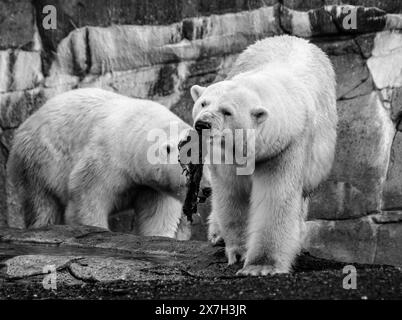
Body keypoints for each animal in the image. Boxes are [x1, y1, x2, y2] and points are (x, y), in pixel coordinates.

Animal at [7, 87, 199, 238]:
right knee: (42, 201)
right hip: (39, 158)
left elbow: (157, 211)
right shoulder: (107, 155)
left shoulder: (152, 182)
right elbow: (88, 195)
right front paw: (94, 229)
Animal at [190, 34, 338, 276]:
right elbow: (232, 193)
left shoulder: (285, 147)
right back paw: (217, 235)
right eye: (203, 103)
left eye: (227, 111)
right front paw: (239, 251)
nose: (202, 124)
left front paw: (260, 266)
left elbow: (275, 198)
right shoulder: (225, 154)